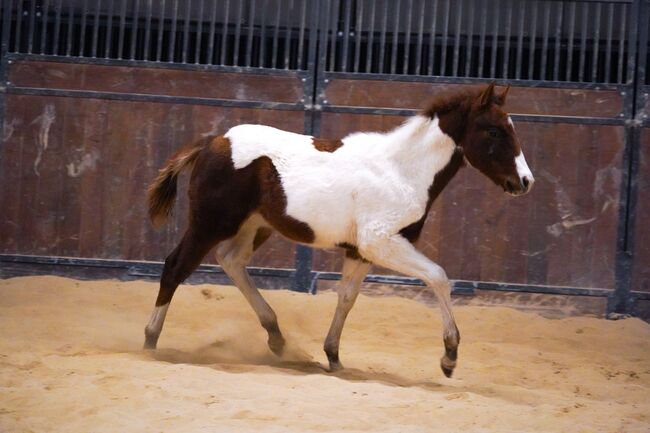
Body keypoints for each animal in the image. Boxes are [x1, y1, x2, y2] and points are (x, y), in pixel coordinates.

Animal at [143, 82, 534, 377]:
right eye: (495, 130)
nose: (525, 182)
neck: (402, 171)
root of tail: (211, 141)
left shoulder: (360, 251)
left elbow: (347, 297)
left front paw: (333, 356)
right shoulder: (381, 243)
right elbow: (438, 276)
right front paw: (449, 357)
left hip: (254, 225)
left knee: (231, 260)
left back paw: (277, 337)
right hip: (210, 222)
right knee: (176, 267)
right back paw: (150, 341)